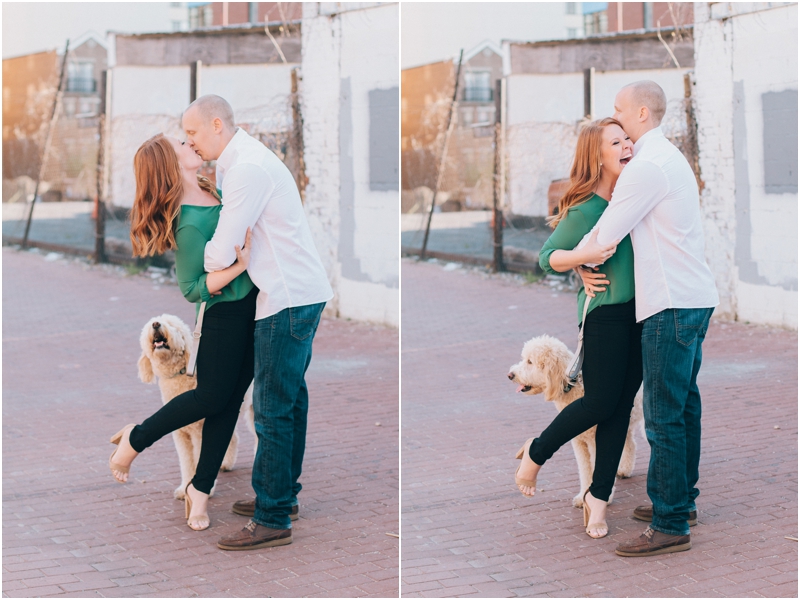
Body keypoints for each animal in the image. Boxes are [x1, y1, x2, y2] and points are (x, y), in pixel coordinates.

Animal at [138, 316, 255, 500]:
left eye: (172, 325)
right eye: (152, 323)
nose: (156, 324)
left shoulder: (200, 431)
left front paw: (202, 490)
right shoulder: (181, 435)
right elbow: (186, 462)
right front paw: (183, 489)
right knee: (233, 437)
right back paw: (226, 463)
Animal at [512, 336, 644, 508]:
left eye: (530, 362)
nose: (510, 374)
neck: (575, 385)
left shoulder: (595, 440)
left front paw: (602, 499)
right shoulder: (579, 442)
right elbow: (585, 470)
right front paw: (583, 497)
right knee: (630, 444)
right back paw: (624, 470)